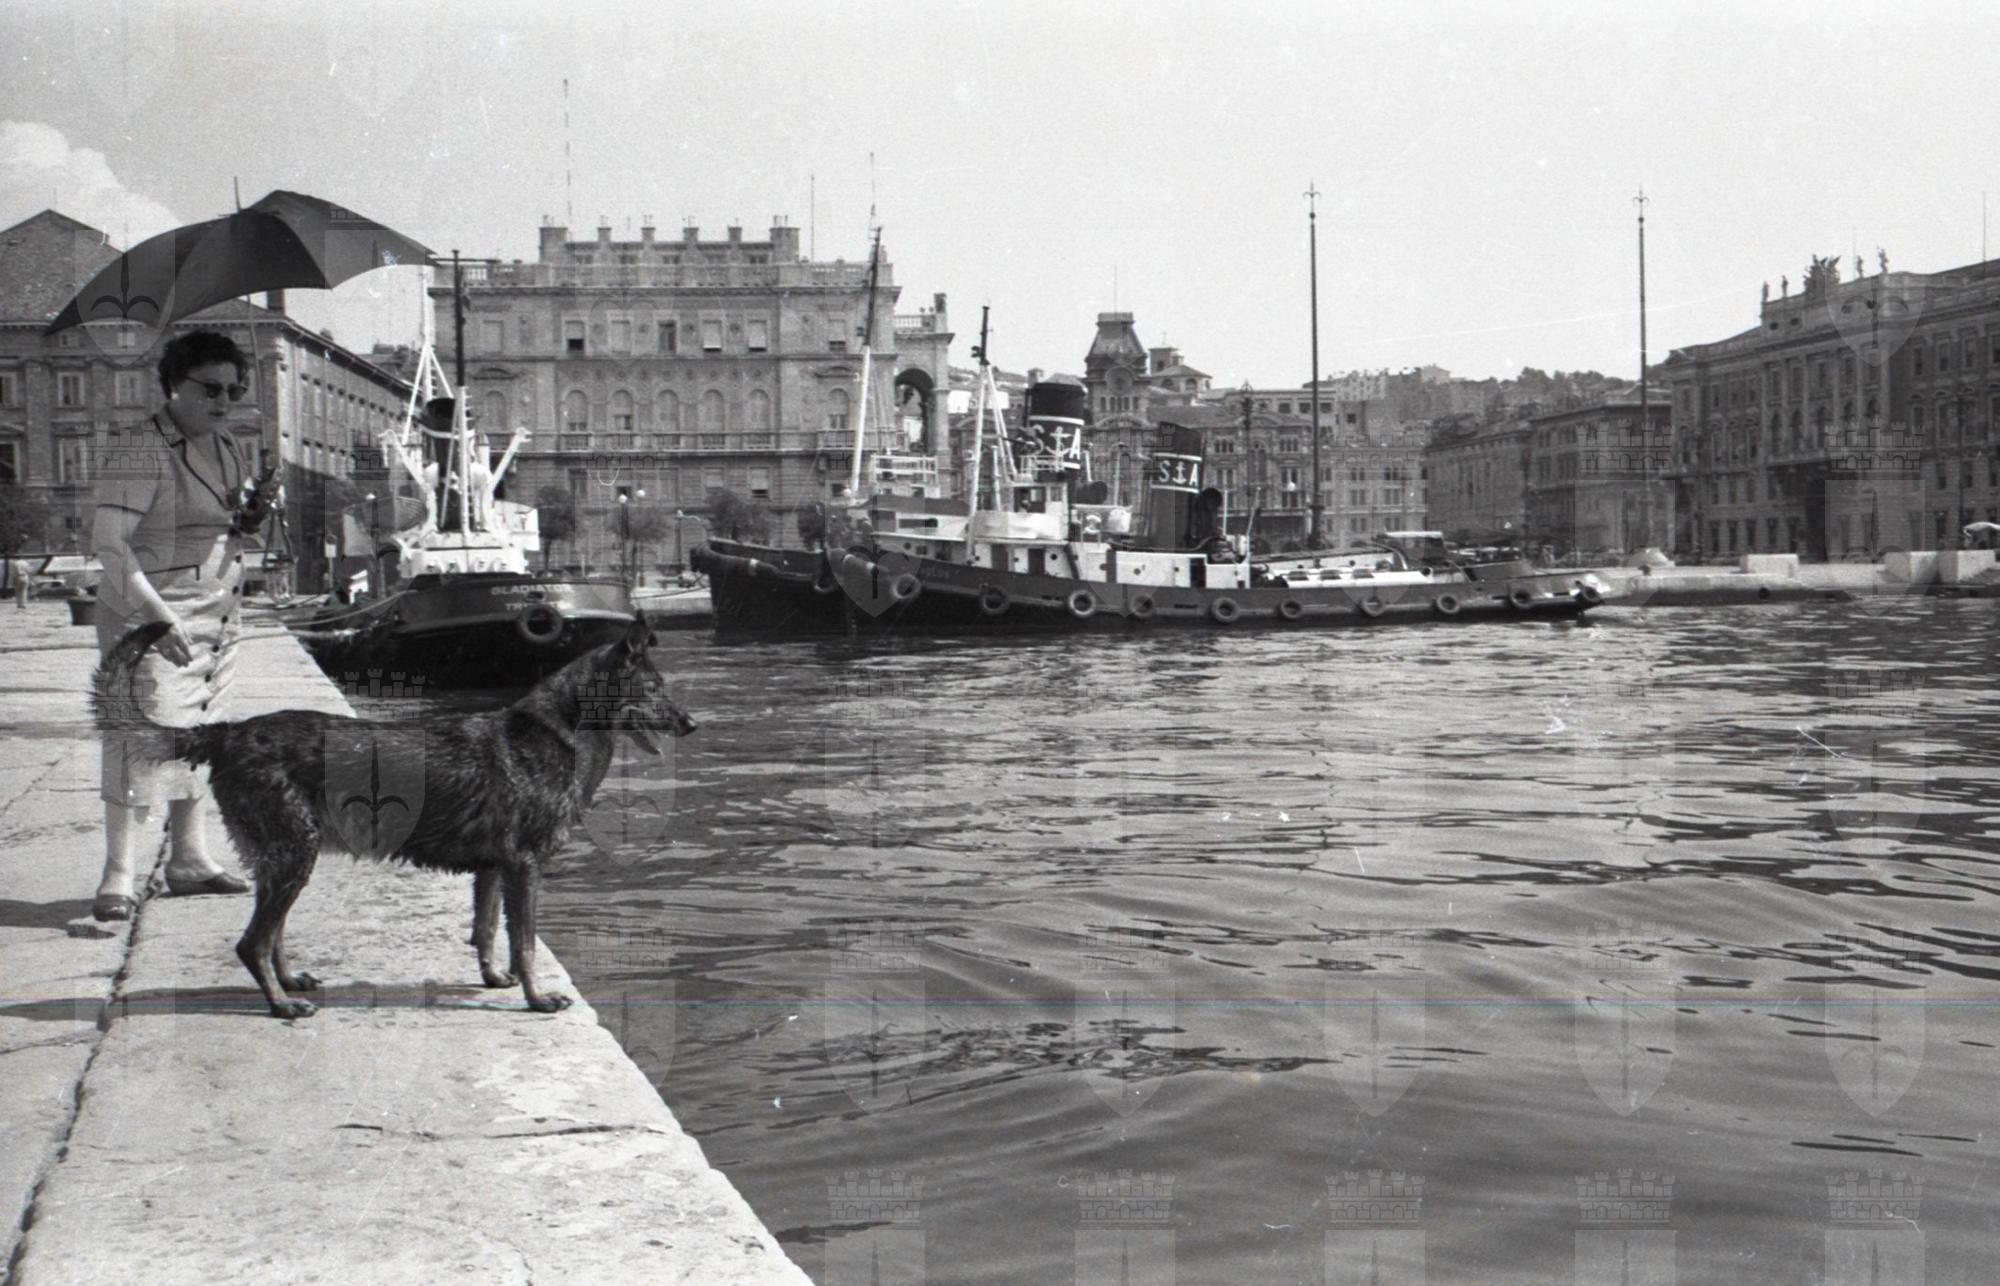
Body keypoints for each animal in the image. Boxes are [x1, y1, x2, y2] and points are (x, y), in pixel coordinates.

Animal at [92, 611, 696, 1019]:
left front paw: (493, 978)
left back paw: (290, 984)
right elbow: (522, 942)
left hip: (282, 860)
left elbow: (485, 932)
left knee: (272, 934)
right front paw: (537, 998)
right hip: (294, 856)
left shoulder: (494, 870)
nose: (691, 724)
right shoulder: (524, 868)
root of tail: (227, 731)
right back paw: (282, 1006)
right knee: (253, 942)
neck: (559, 732)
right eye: (654, 687)